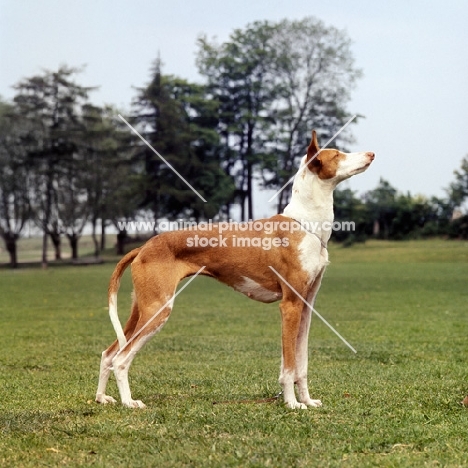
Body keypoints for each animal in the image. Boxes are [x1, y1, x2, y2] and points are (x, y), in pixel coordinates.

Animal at [95, 130, 372, 408]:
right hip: (157, 310)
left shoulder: (305, 307)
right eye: (337, 155)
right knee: (121, 358)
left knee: (108, 353)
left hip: (141, 309)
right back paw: (129, 402)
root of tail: (143, 247)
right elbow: (289, 367)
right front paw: (292, 404)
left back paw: (101, 397)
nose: (371, 154)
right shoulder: (290, 306)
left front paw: (307, 400)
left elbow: (301, 364)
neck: (305, 224)